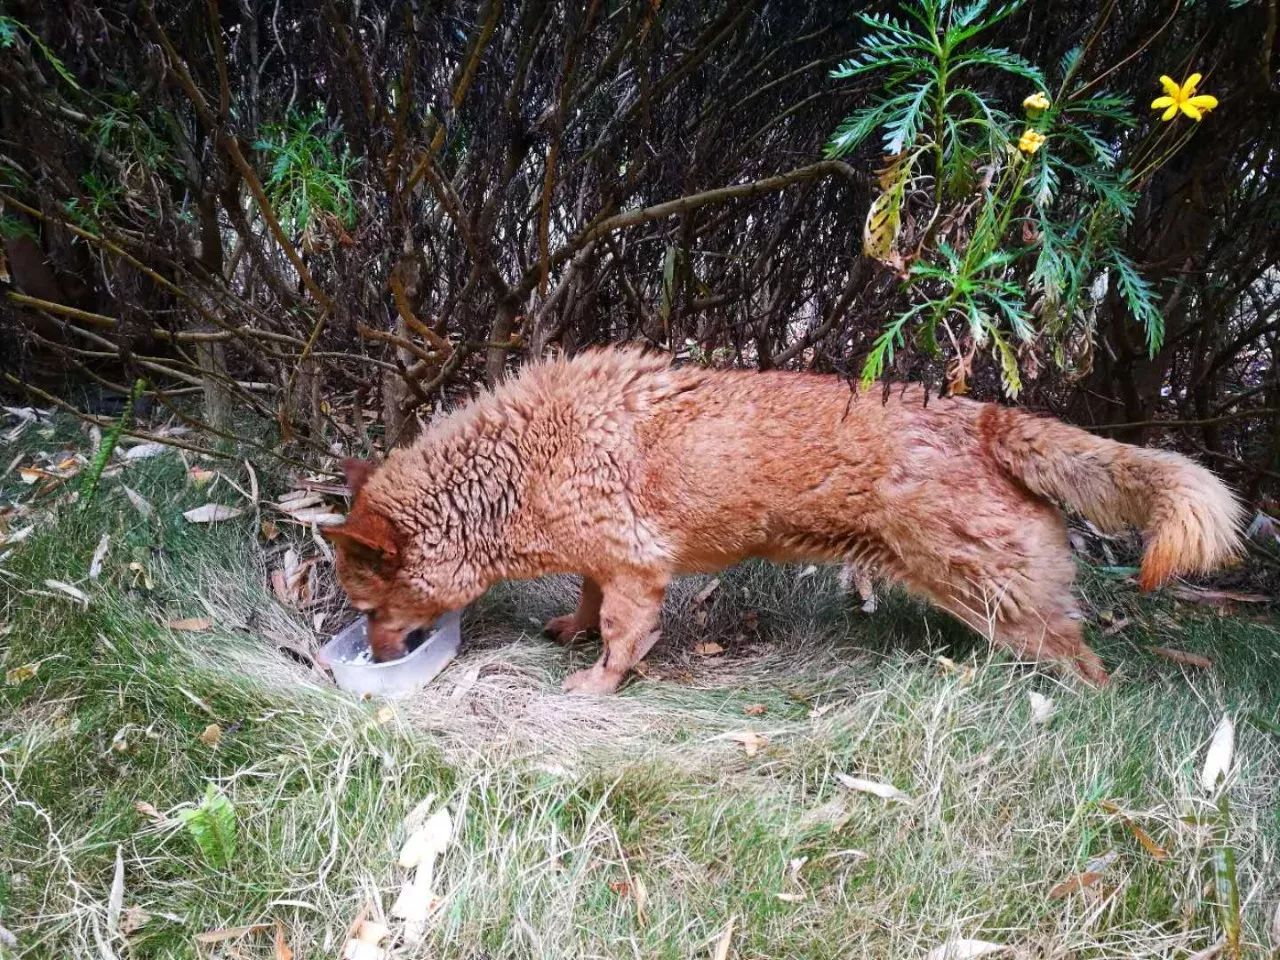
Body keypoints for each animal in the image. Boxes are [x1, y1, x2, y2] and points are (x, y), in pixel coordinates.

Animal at [325, 350, 1244, 696]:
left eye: (369, 610)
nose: (373, 660)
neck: (517, 467)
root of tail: (987, 420)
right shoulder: (602, 562)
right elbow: (586, 603)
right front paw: (571, 633)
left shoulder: (638, 571)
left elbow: (624, 638)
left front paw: (596, 684)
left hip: (1005, 604)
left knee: (1087, 666)